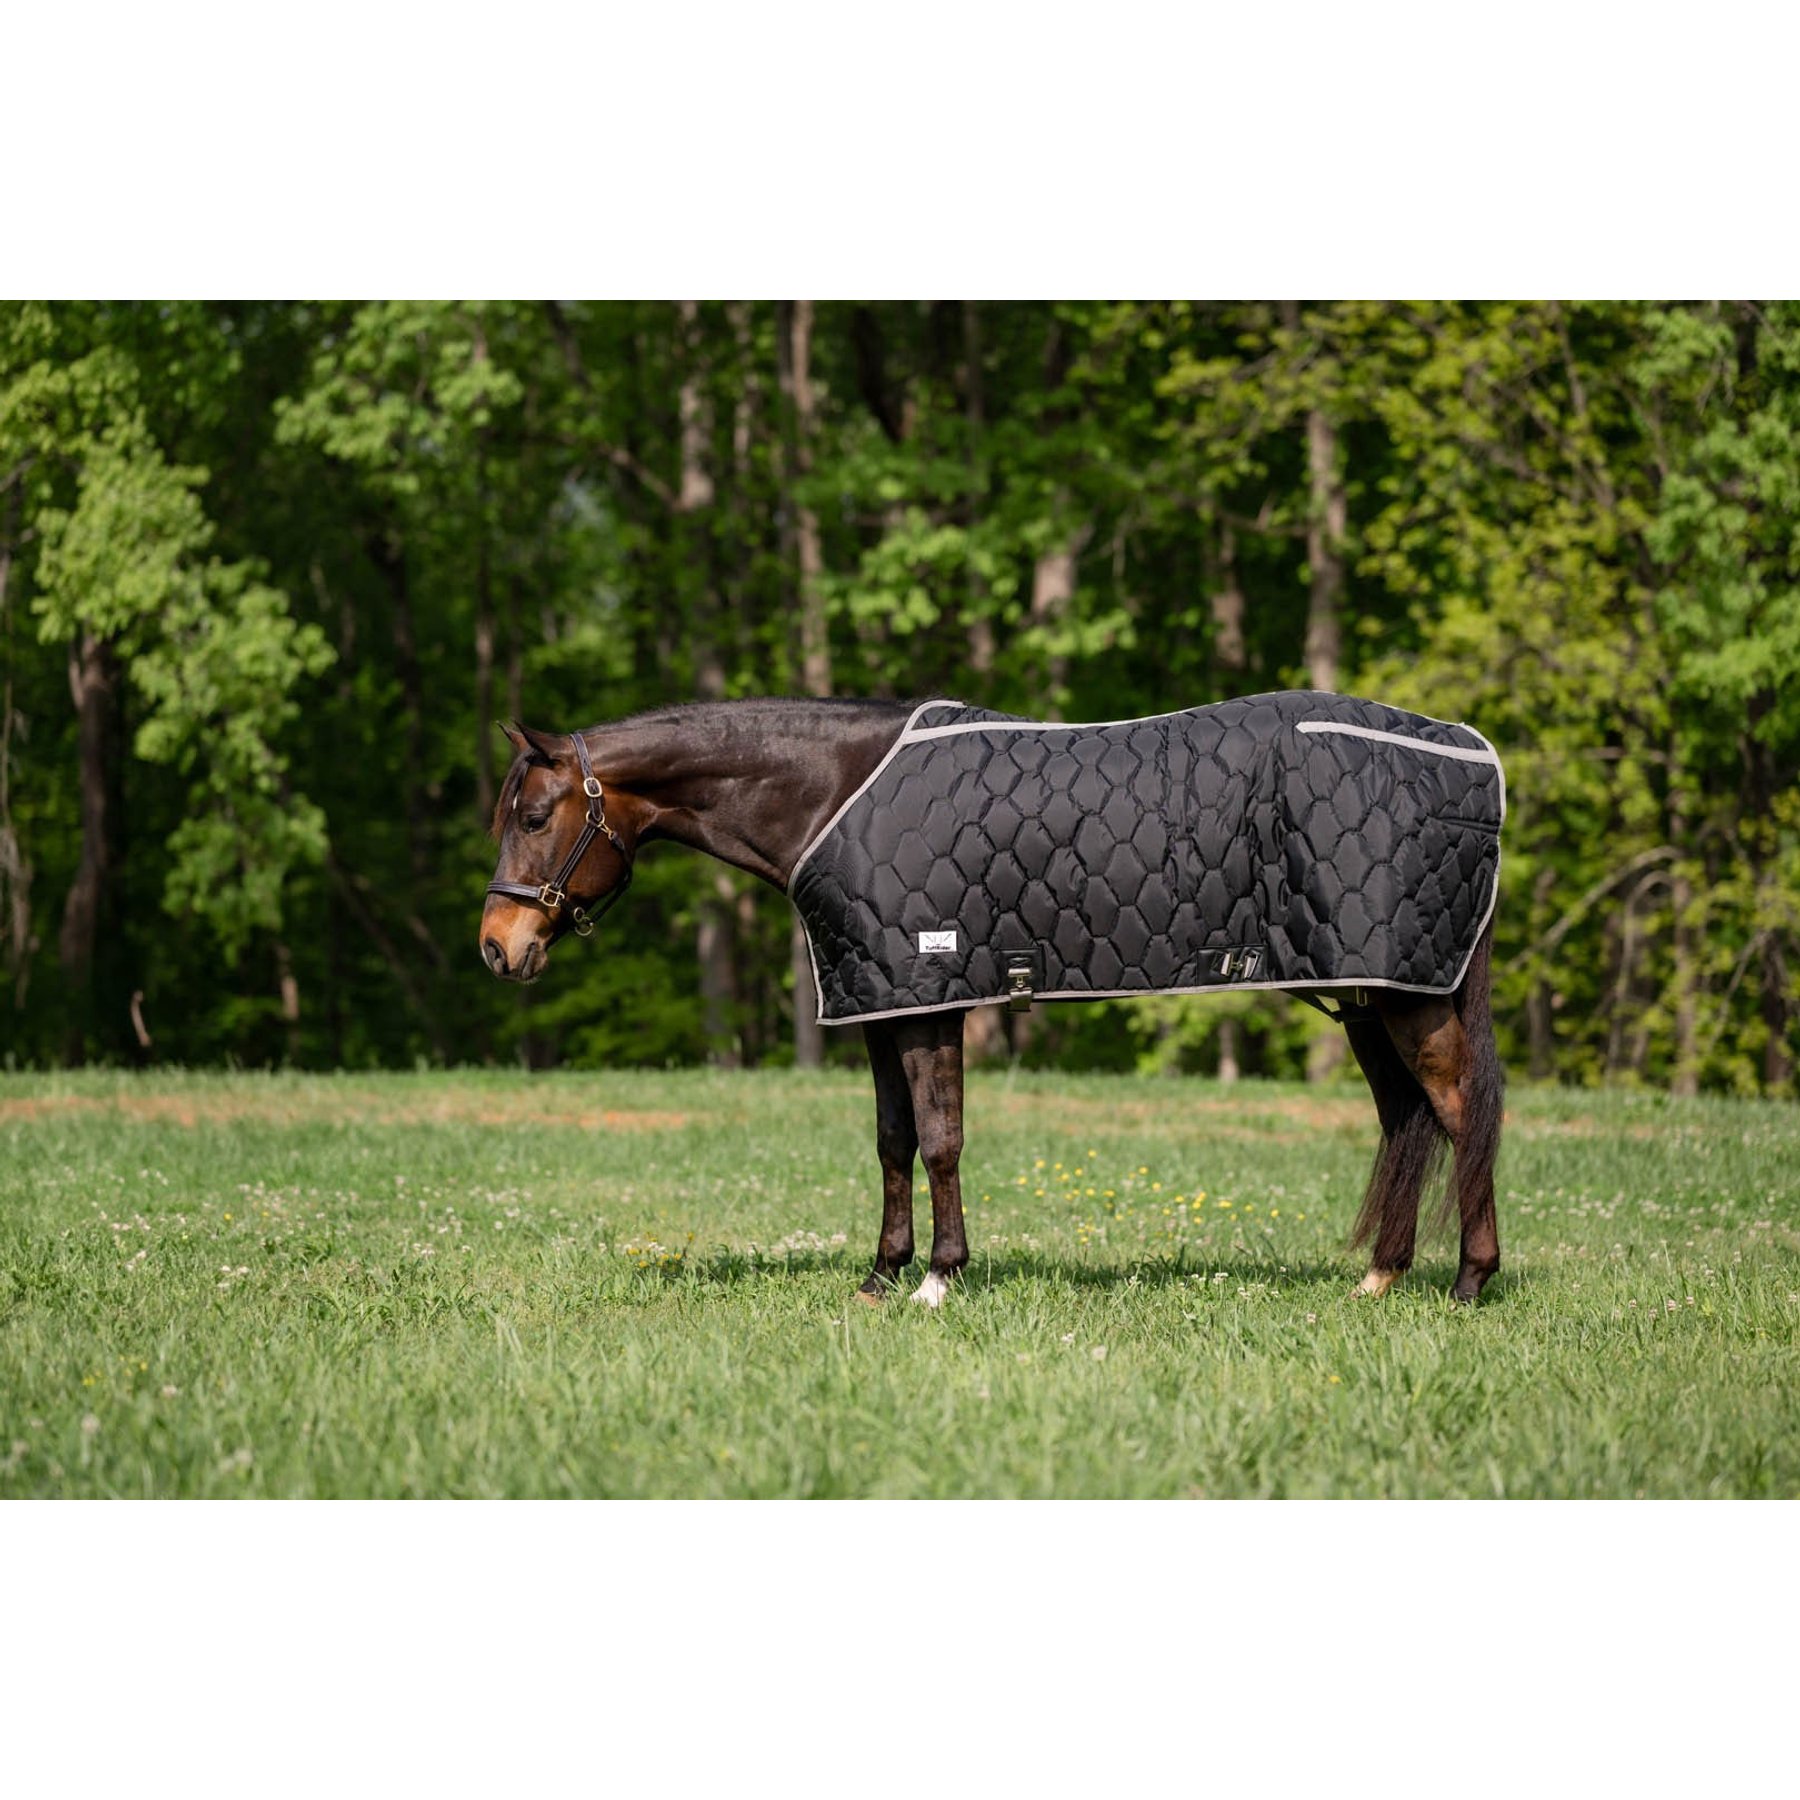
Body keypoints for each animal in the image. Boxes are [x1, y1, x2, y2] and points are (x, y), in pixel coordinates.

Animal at [478, 696, 1504, 1306]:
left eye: (532, 818)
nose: (498, 947)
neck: (833, 794)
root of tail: (1476, 764)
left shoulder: (931, 997)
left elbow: (940, 1140)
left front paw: (939, 1279)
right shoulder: (881, 1001)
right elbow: (893, 1141)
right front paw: (880, 1276)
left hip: (1408, 997)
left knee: (1459, 1111)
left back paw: (1469, 1282)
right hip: (1370, 993)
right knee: (1406, 1115)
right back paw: (1379, 1278)